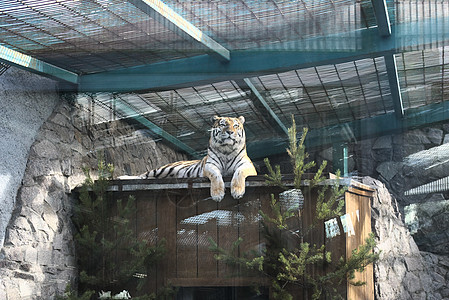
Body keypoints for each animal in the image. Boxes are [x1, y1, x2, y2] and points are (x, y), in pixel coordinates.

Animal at [119, 115, 256, 202]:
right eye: (223, 124)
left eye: (236, 125)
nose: (230, 132)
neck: (226, 150)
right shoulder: (209, 166)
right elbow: (216, 176)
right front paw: (217, 194)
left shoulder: (247, 165)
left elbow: (239, 172)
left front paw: (237, 192)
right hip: (164, 169)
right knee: (143, 175)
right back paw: (122, 177)